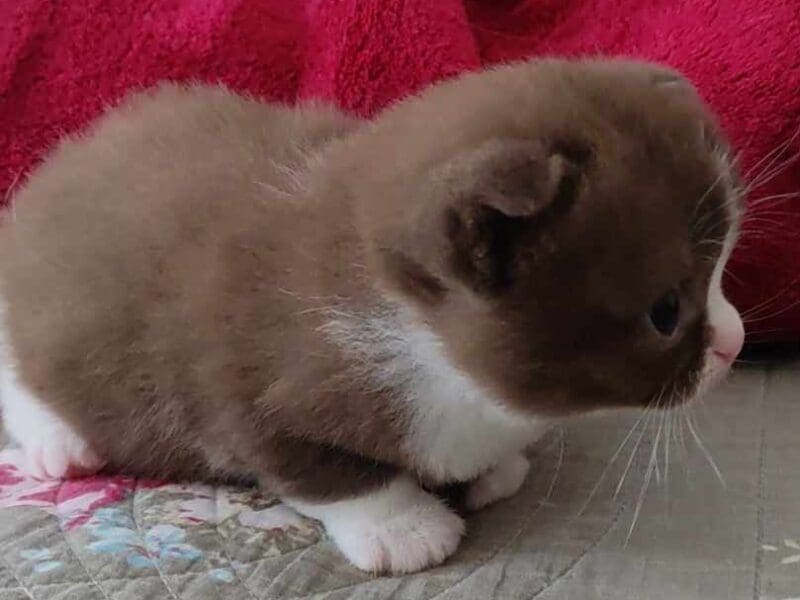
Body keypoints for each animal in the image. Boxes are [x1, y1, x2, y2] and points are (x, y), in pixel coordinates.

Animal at [0, 59, 744, 572]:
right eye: (666, 311)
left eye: (721, 274)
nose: (735, 343)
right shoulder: (242, 393)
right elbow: (322, 472)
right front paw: (405, 527)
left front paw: (493, 470)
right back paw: (59, 443)